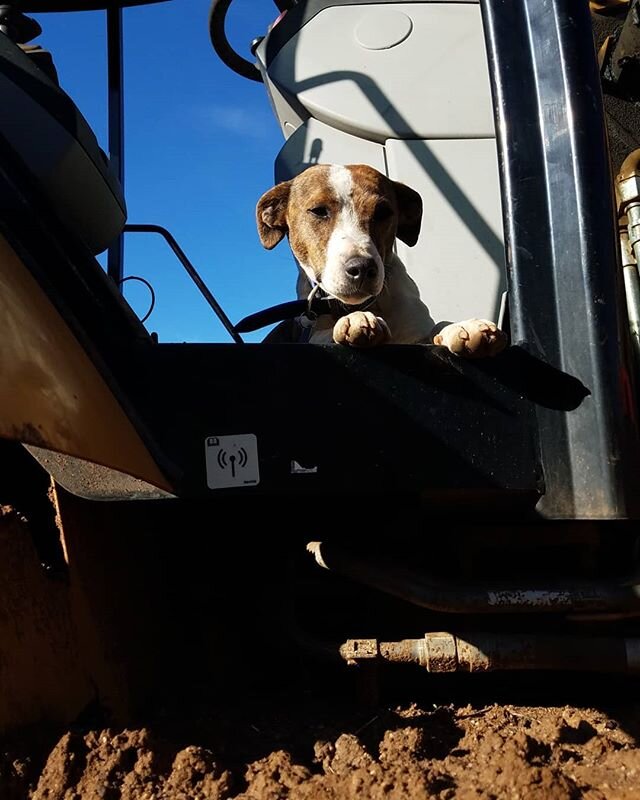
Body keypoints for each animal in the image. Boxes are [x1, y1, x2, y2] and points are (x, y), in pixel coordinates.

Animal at [258, 162, 508, 356]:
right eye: (319, 211)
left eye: (383, 212)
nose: (362, 268)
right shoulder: (314, 333)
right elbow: (324, 333)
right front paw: (357, 320)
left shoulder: (417, 331)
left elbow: (438, 326)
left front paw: (464, 327)